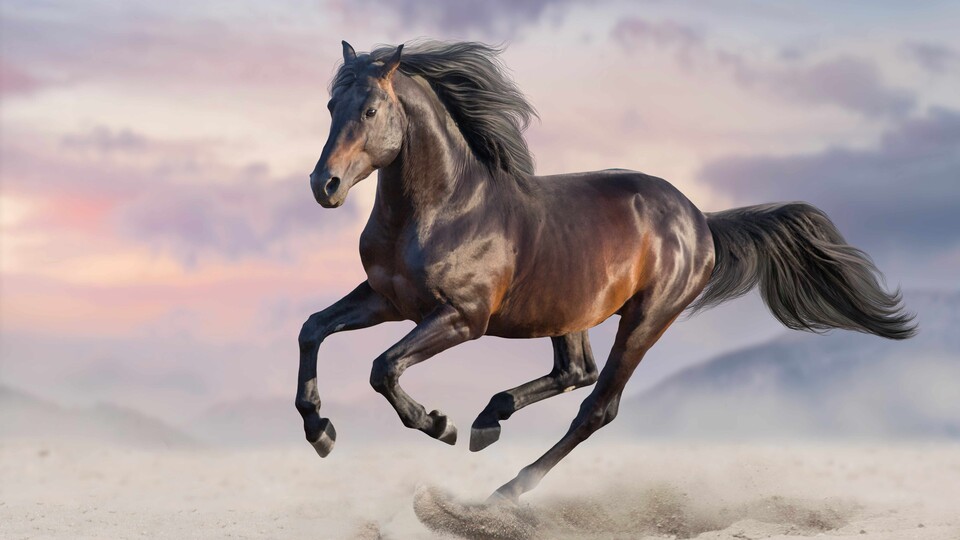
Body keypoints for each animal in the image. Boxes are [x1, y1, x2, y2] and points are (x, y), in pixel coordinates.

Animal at [295, 40, 915, 502]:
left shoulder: (462, 318)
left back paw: (505, 488)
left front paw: (437, 423)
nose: (324, 186)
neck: (446, 207)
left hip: (645, 319)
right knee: (576, 371)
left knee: (597, 405)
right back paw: (489, 421)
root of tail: (699, 219)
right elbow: (313, 329)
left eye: (370, 110)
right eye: (329, 108)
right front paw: (320, 431)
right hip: (567, 309)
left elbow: (383, 368)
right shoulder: (388, 299)